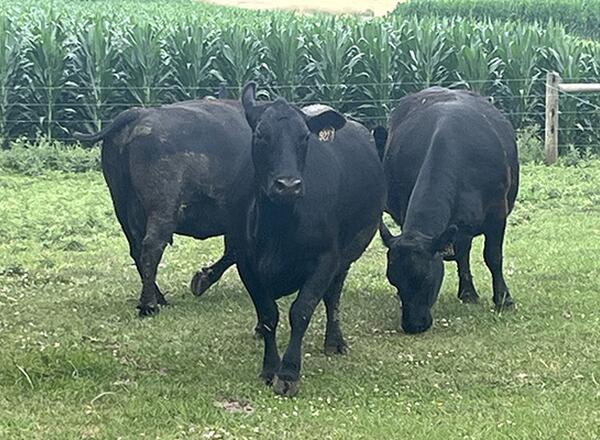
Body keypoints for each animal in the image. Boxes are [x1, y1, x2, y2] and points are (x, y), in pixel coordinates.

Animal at [74, 90, 252, 316]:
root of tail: (139, 114)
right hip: (163, 208)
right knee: (151, 246)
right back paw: (149, 305)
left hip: (122, 207)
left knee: (137, 250)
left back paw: (158, 297)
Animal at [230, 81, 384, 398]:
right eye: (261, 135)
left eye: (304, 137)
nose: (288, 185)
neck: (278, 225)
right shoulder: (246, 263)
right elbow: (268, 316)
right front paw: (269, 368)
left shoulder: (326, 259)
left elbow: (301, 311)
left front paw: (289, 372)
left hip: (345, 257)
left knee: (333, 296)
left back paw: (334, 341)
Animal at [380, 86, 520, 334]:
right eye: (394, 280)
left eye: (425, 278)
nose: (412, 325)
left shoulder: (497, 212)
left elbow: (493, 256)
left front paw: (504, 299)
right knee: (462, 253)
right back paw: (468, 292)